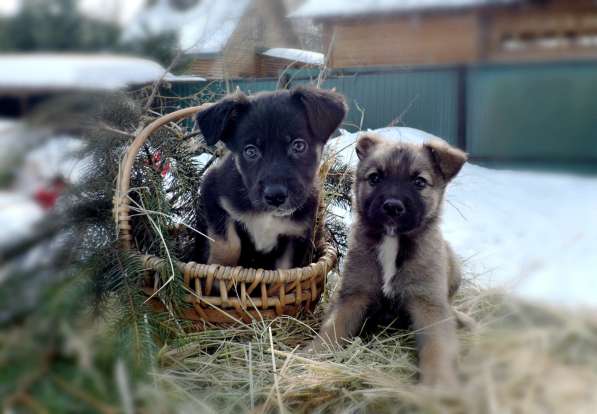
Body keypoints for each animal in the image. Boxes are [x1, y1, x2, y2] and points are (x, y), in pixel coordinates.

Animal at [193, 86, 346, 270]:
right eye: (250, 151)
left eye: (298, 145)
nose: (275, 196)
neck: (268, 216)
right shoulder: (213, 192)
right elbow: (228, 245)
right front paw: (218, 269)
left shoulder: (296, 235)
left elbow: (285, 270)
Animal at [310, 133, 468, 388]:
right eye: (375, 178)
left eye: (419, 182)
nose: (392, 206)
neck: (392, 242)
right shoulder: (353, 294)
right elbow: (333, 327)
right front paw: (311, 357)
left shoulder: (429, 303)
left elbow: (436, 347)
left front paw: (439, 383)